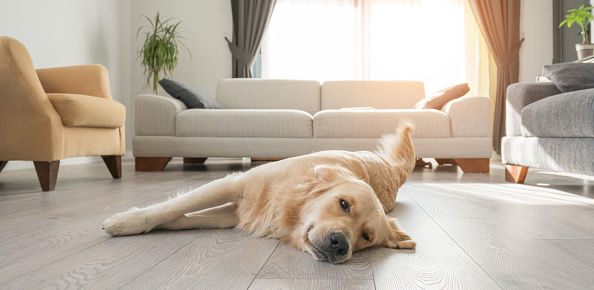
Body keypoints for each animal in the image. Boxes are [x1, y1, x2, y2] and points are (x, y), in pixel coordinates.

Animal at [102, 123, 414, 264]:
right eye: (344, 204)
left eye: (366, 237)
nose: (340, 245)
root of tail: (393, 169)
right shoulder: (235, 185)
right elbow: (173, 208)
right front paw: (127, 221)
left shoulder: (234, 215)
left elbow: (184, 217)